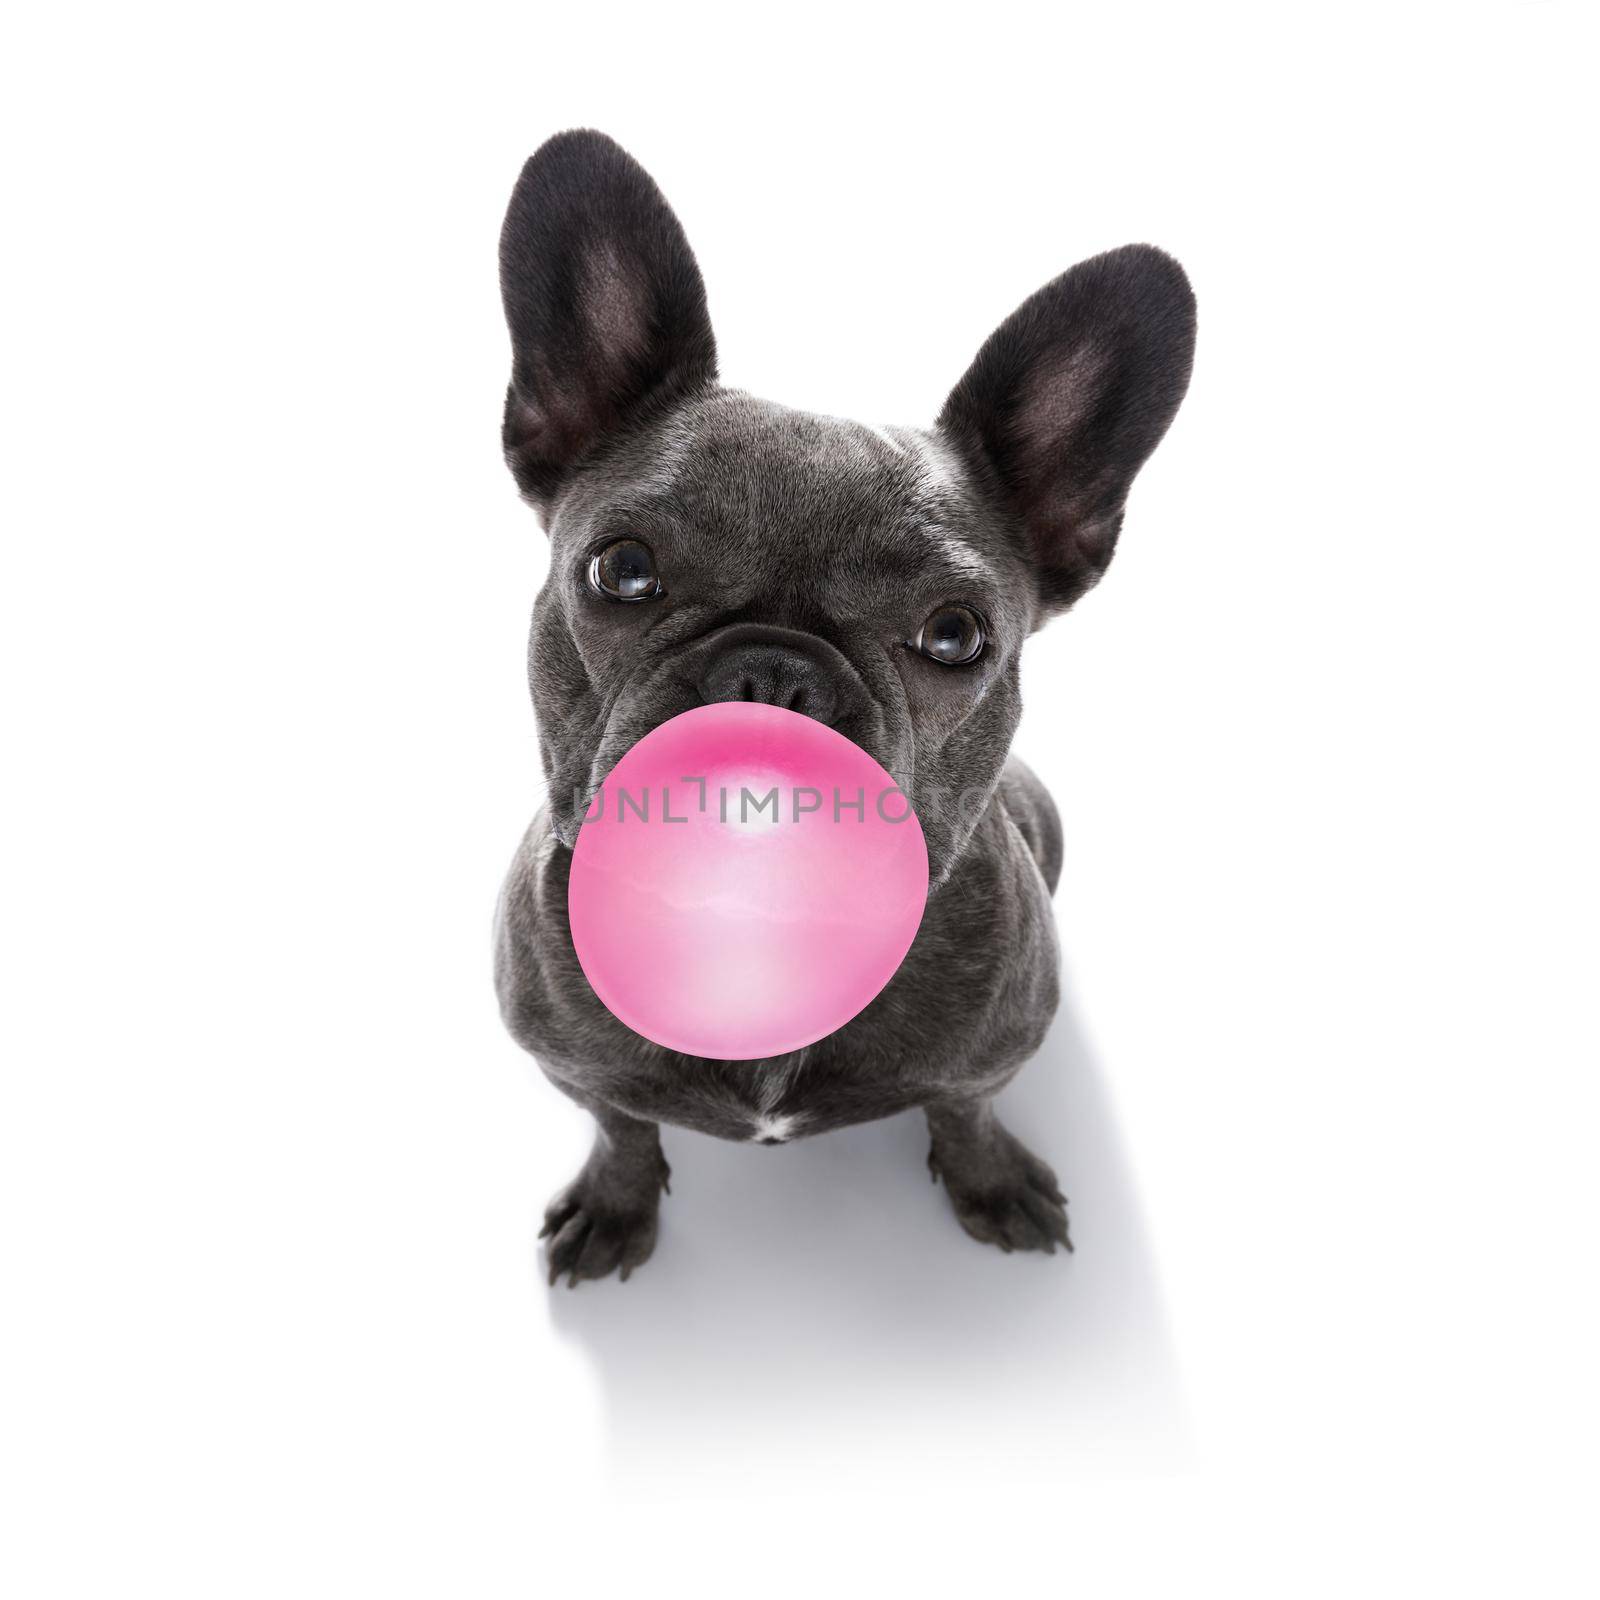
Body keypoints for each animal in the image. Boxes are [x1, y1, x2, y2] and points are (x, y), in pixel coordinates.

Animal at [492, 134, 1196, 1286]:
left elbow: (965, 1110)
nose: (778, 673)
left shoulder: (990, 1055)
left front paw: (990, 1181)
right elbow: (622, 1126)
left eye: (955, 635)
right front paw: (614, 1203)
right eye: (623, 569)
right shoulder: (571, 1065)